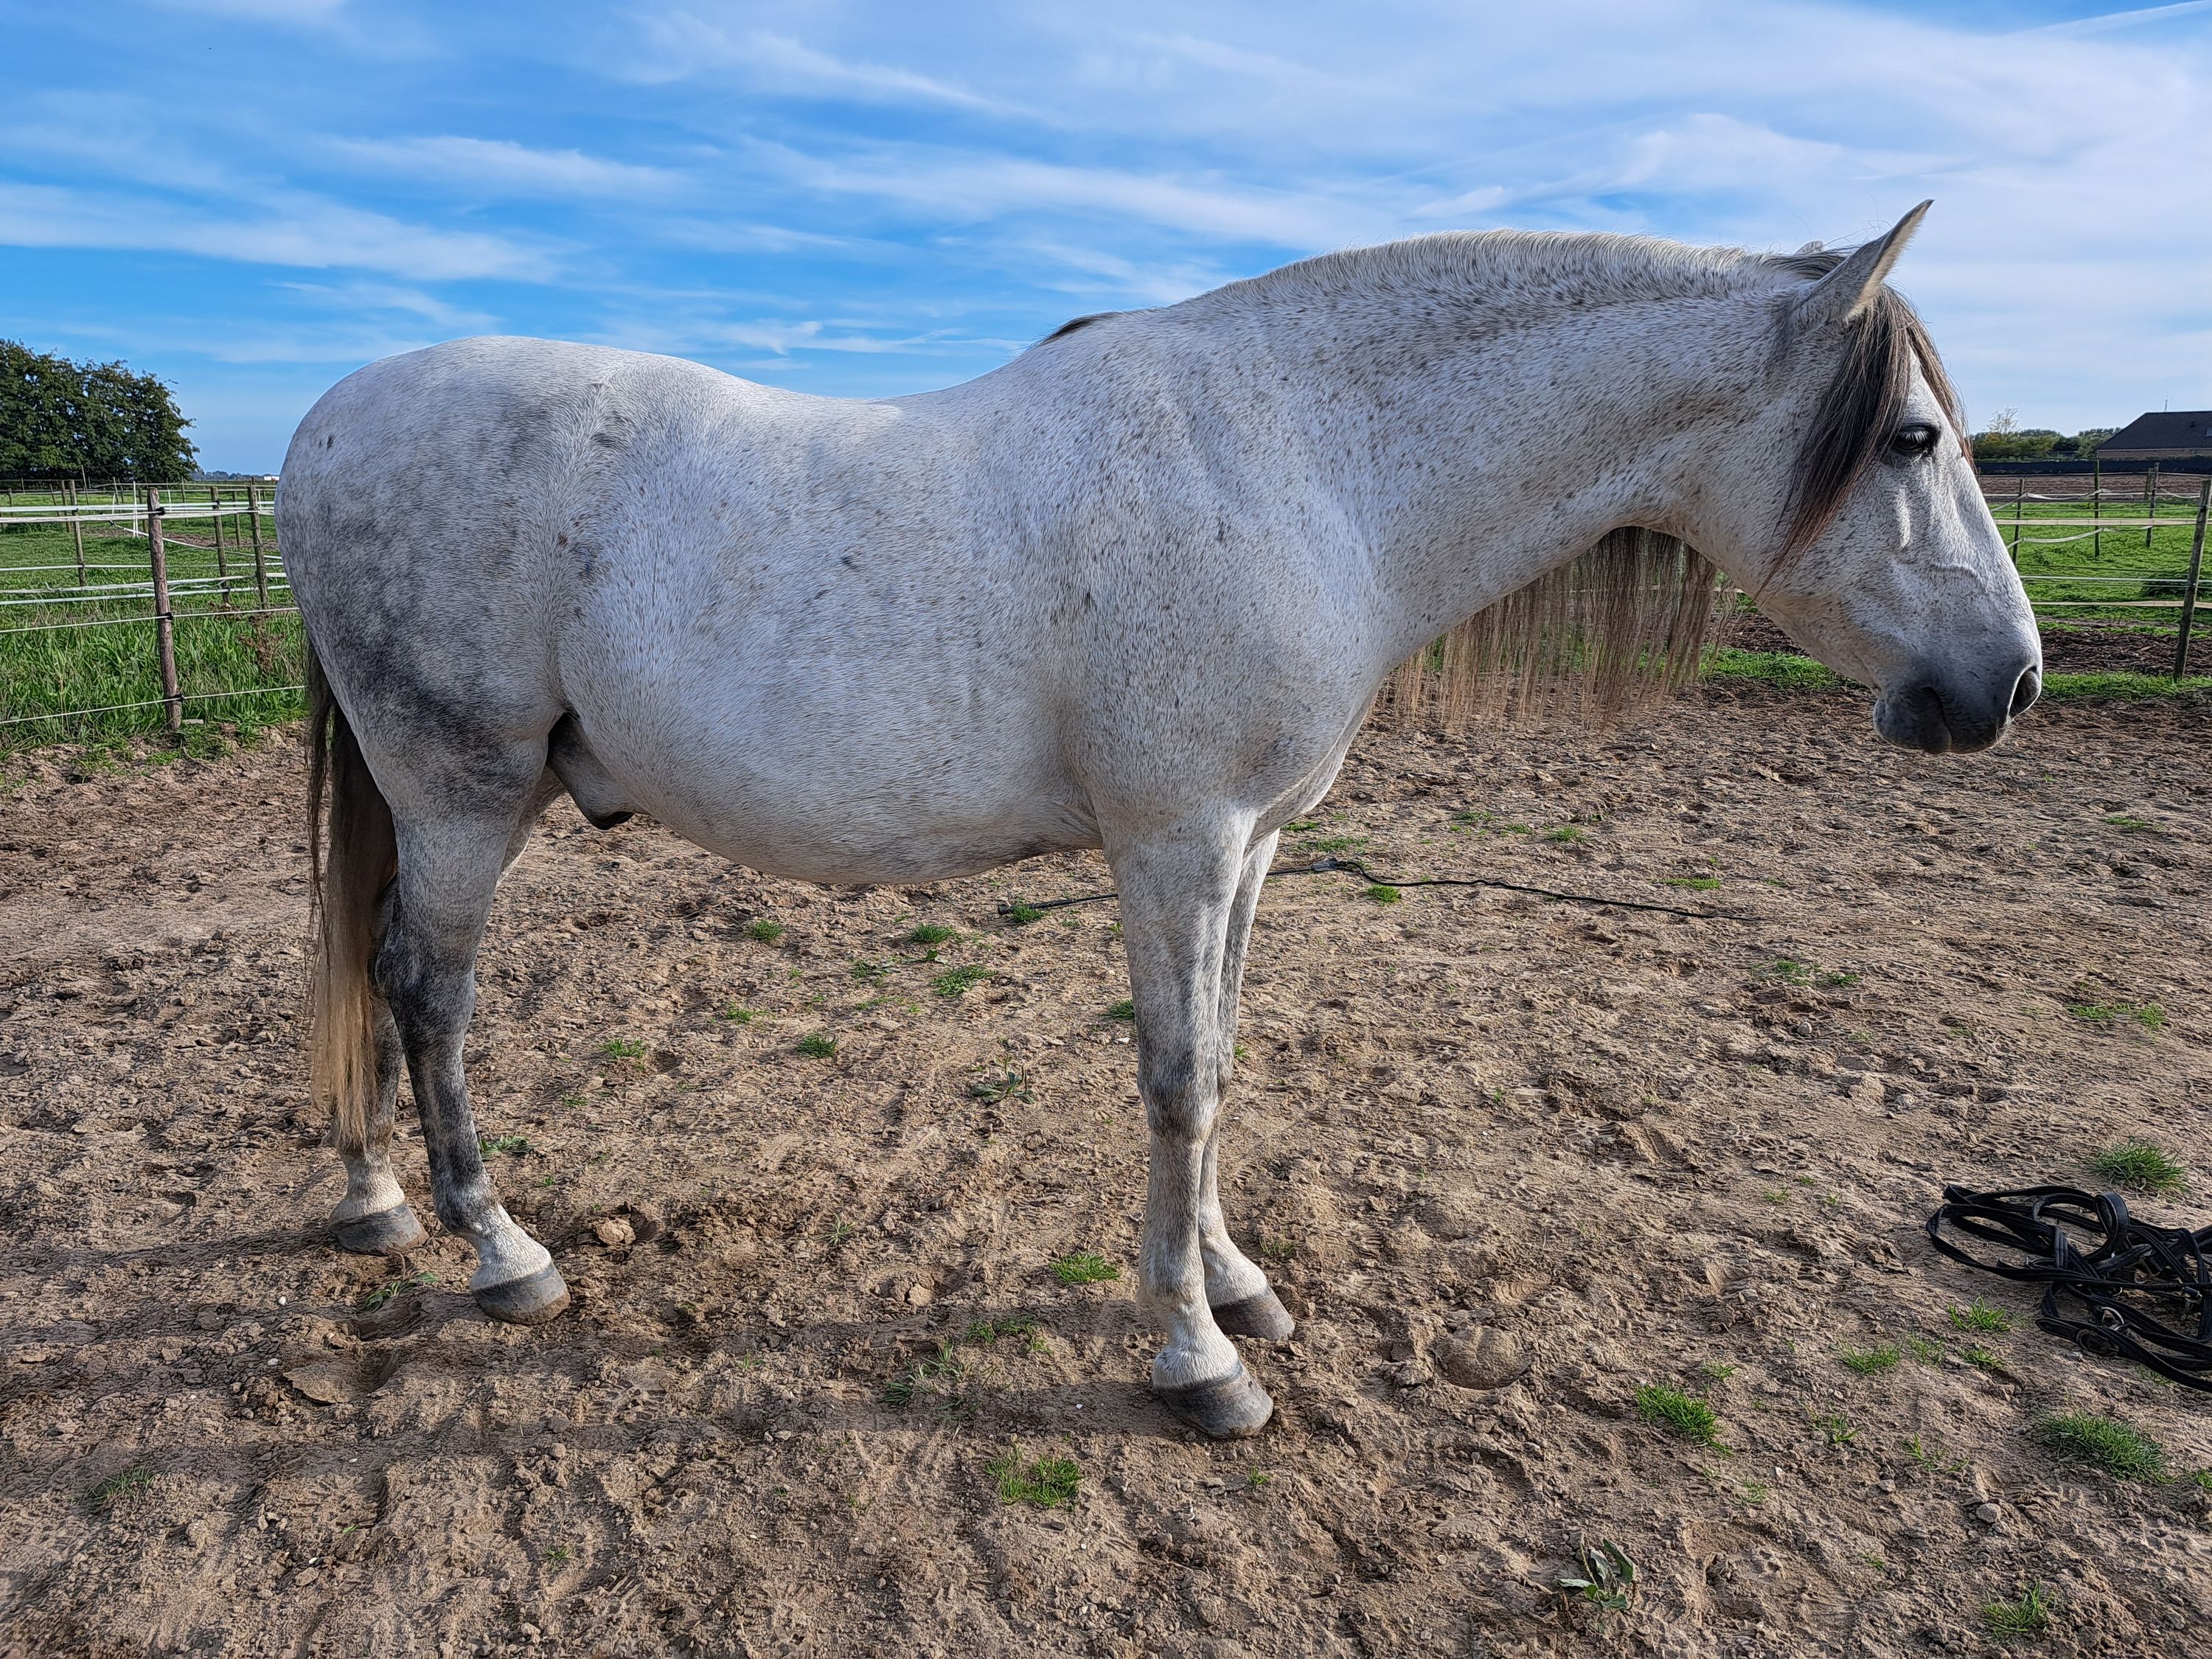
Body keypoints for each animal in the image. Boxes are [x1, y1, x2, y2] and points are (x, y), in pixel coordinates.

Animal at [282, 203, 2039, 1439]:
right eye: (1911, 438)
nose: (2006, 685)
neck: (1306, 465)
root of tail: (319, 428)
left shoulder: (1248, 845)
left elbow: (1227, 1064)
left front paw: (1236, 1286)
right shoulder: (1176, 845)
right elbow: (1179, 1083)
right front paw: (1198, 1359)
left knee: (370, 974)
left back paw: (373, 1203)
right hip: (460, 795)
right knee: (425, 991)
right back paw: (502, 1253)